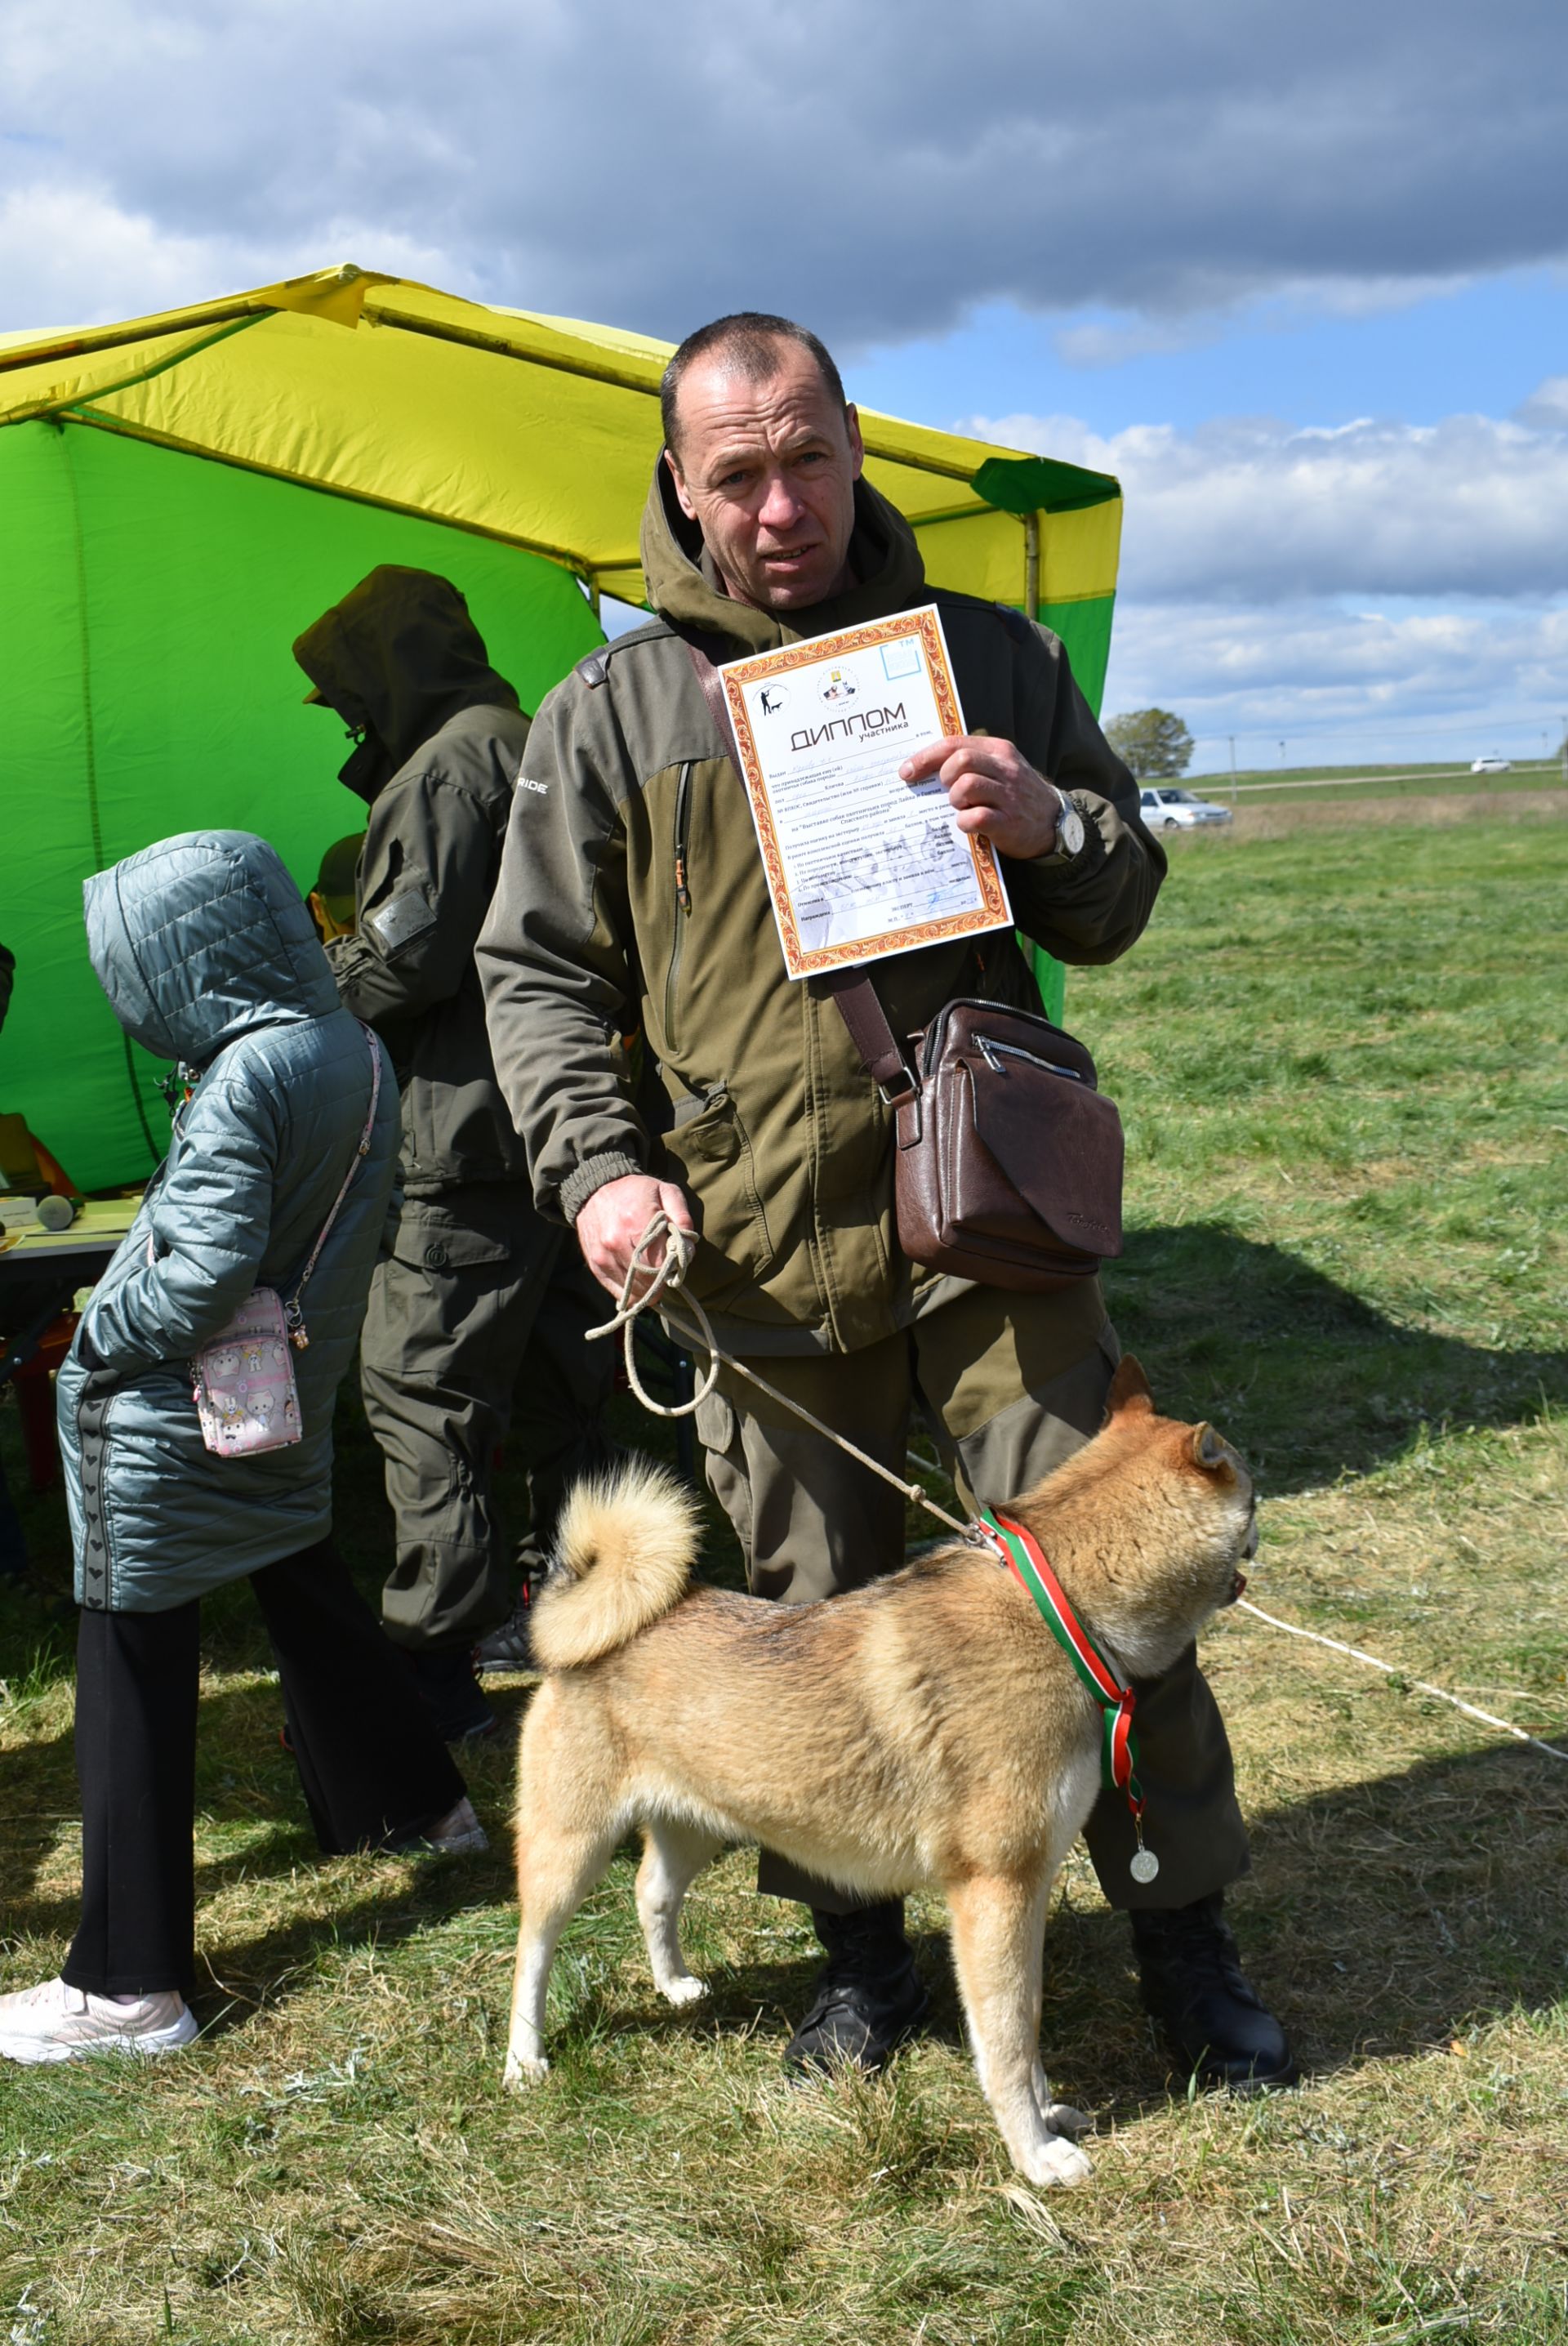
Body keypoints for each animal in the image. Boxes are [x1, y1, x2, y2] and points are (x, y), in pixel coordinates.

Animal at [508, 1351, 1256, 2186]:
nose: (1258, 1538)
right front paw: (1034, 2154)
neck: (1061, 1608)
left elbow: (1026, 2021)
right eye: (1252, 1495)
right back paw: (524, 2059)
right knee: (532, 1950)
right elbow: (1005, 2040)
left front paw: (1048, 2113)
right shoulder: (995, 1891)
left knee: (651, 1895)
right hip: (570, 1847)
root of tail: (587, 1621)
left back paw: (673, 1985)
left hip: (697, 1824)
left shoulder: (1023, 1891)